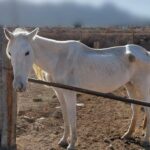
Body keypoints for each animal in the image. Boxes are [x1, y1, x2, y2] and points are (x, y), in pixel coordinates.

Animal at [4, 27, 150, 149]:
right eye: (10, 53)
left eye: (27, 52)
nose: (19, 86)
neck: (59, 59)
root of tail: (146, 53)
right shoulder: (59, 92)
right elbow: (65, 116)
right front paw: (63, 140)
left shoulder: (70, 93)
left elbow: (72, 117)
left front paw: (72, 144)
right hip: (130, 85)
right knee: (135, 108)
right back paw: (128, 134)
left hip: (142, 86)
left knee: (146, 109)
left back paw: (146, 140)